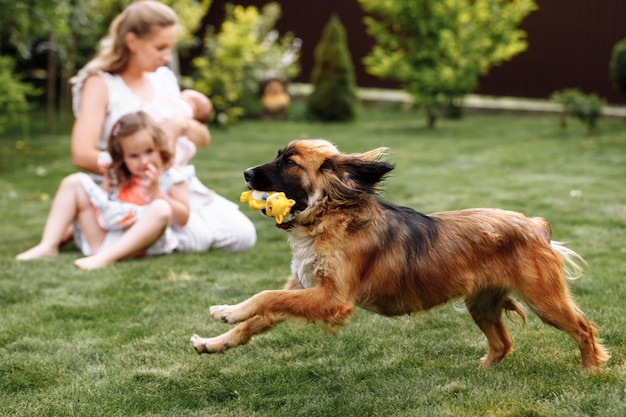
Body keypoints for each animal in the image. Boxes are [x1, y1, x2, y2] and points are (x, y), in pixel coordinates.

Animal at [189, 140, 604, 370]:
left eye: (289, 162)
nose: (246, 173)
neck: (331, 215)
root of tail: (536, 224)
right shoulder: (304, 287)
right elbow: (257, 318)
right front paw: (214, 341)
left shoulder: (332, 298)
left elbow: (264, 297)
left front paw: (227, 311)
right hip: (481, 303)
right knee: (503, 343)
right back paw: (482, 367)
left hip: (544, 299)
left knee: (583, 328)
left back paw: (592, 369)